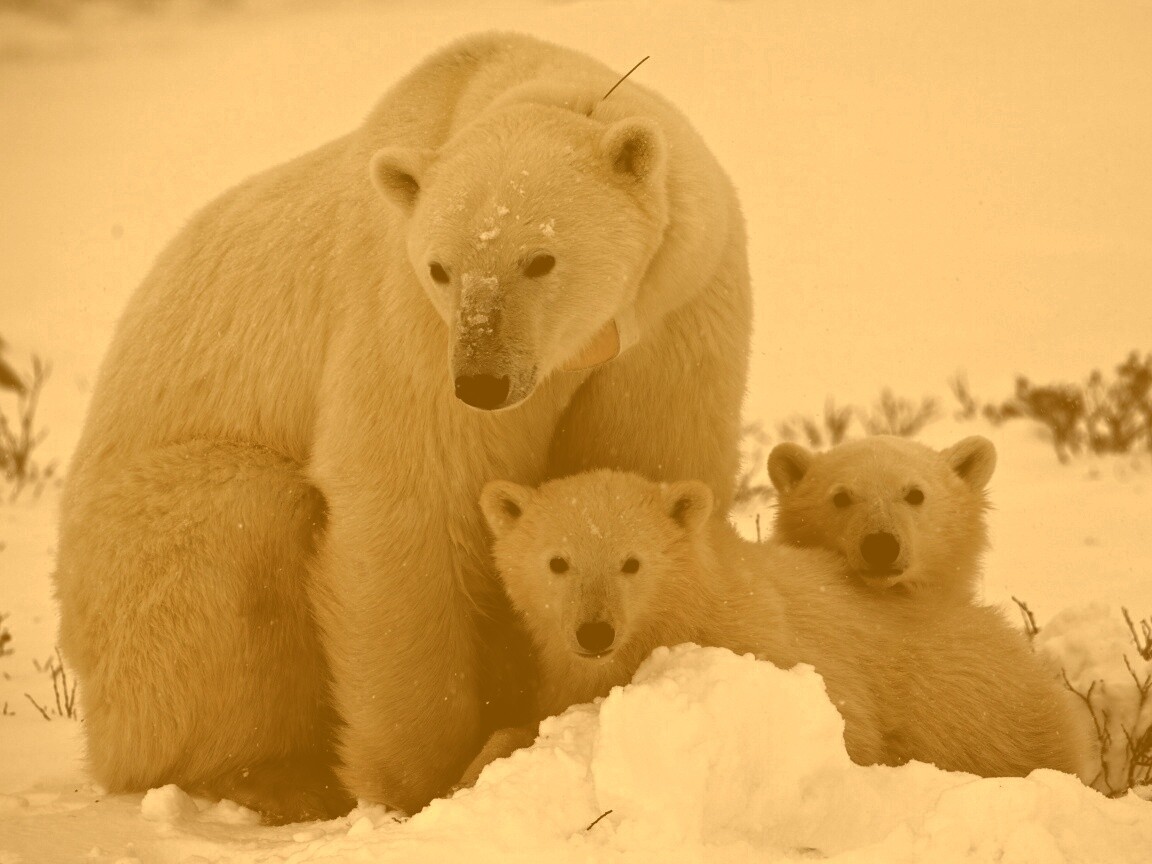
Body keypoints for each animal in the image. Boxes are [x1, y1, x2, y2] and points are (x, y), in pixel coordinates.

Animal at [54, 30, 751, 820]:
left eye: (540, 258)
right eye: (442, 267)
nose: (481, 382)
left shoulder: (674, 314)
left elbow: (645, 463)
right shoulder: (406, 318)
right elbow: (409, 498)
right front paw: (427, 778)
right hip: (132, 566)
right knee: (238, 531)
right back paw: (273, 776)